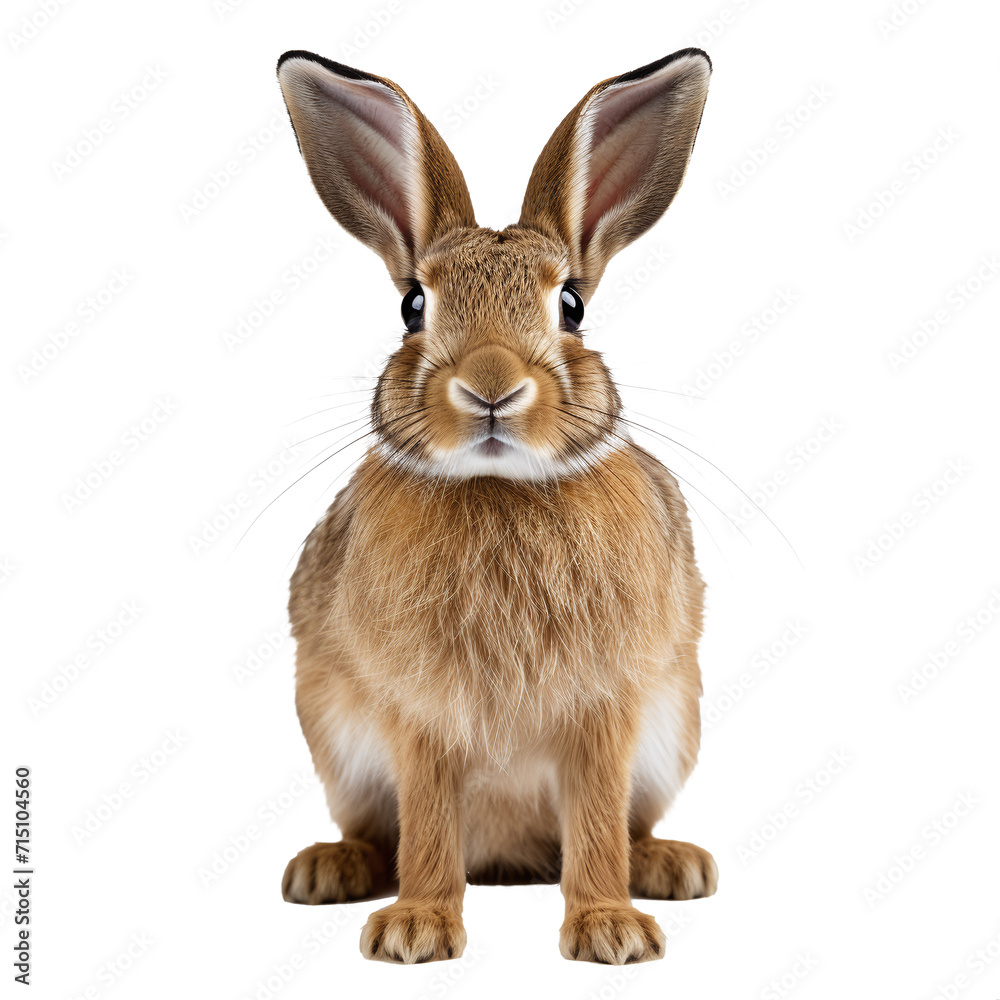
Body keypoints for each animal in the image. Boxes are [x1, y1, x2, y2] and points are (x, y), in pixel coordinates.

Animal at [276, 46, 716, 965]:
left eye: (572, 305)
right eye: (413, 304)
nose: (490, 385)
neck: (499, 489)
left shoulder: (607, 711)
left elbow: (596, 823)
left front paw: (612, 931)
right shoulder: (417, 717)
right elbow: (427, 823)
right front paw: (414, 931)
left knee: (628, 827)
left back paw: (671, 865)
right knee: (381, 833)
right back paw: (328, 869)